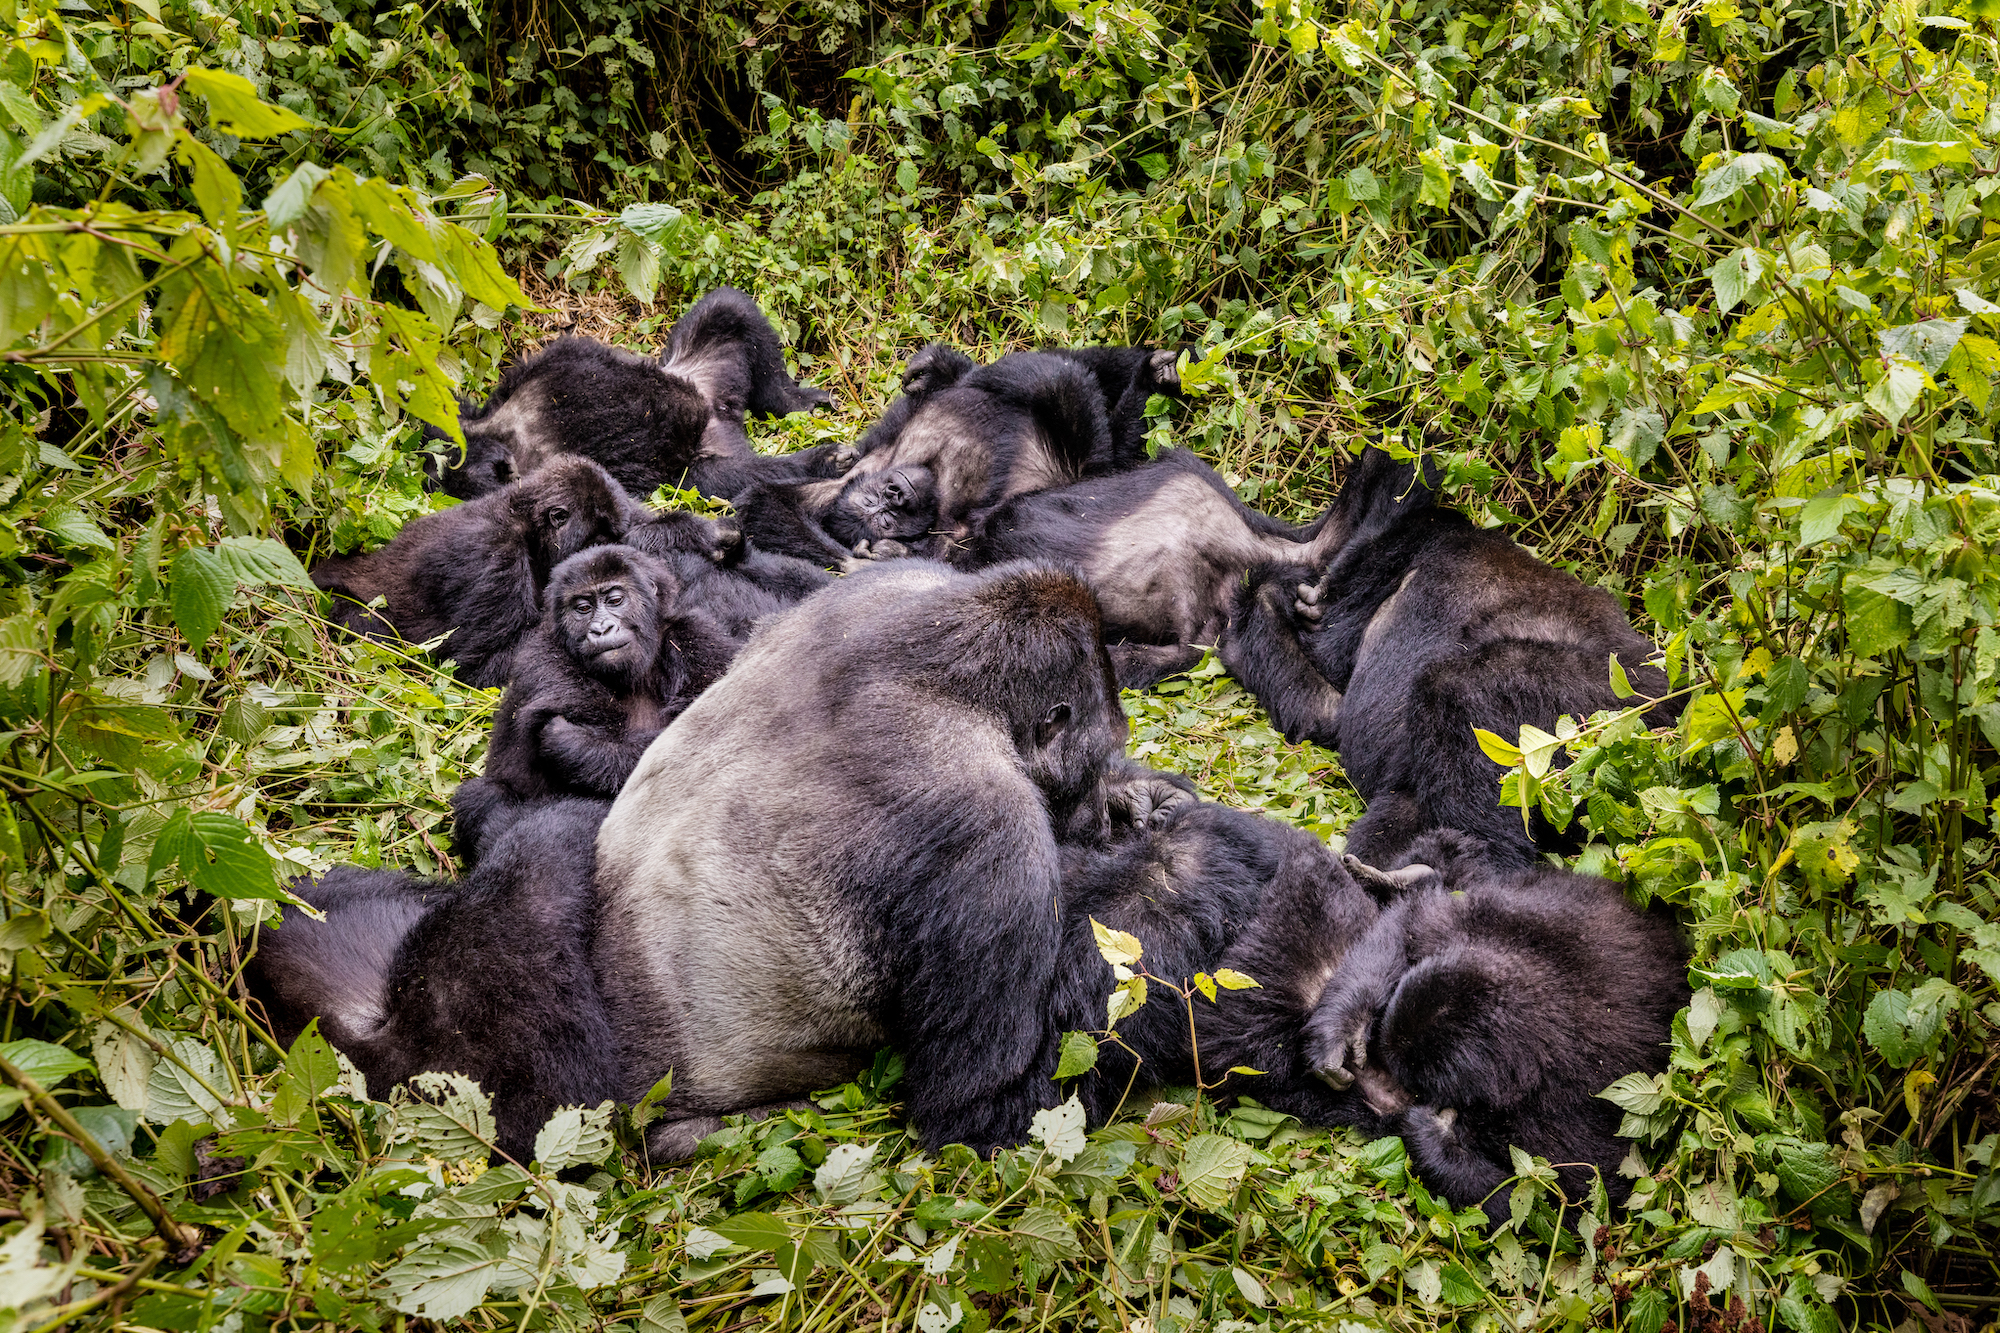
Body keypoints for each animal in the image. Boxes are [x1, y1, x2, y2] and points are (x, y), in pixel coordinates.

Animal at [423, 288, 837, 501]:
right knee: (727, 476)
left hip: (689, 371)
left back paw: (790, 400)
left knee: (726, 310)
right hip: (700, 456)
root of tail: (721, 413)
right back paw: (817, 461)